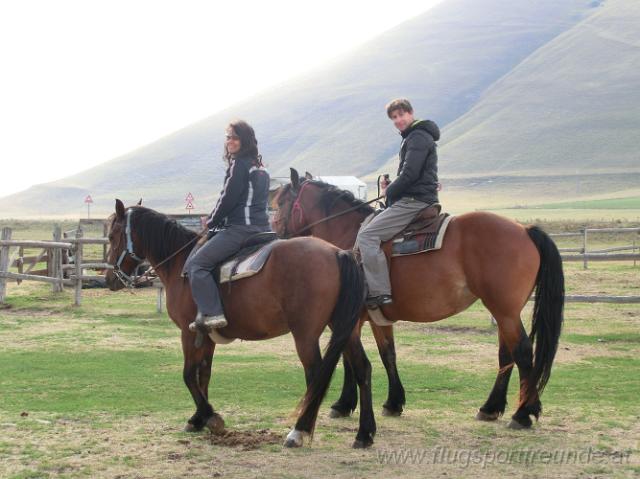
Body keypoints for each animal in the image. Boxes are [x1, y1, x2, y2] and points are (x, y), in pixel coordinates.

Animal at [104, 200, 376, 450]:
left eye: (112, 235)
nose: (110, 279)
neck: (181, 263)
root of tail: (337, 253)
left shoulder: (188, 334)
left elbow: (188, 375)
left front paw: (210, 417)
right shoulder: (206, 336)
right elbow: (204, 374)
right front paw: (198, 418)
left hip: (305, 335)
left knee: (316, 375)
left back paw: (299, 431)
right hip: (346, 329)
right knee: (362, 368)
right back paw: (364, 434)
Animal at [272, 170, 564, 432]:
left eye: (281, 202)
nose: (273, 234)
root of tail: (524, 229)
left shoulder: (349, 319)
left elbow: (348, 357)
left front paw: (343, 404)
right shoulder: (377, 319)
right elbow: (387, 354)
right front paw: (393, 402)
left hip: (505, 312)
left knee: (522, 352)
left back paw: (522, 414)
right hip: (505, 313)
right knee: (507, 355)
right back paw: (491, 408)